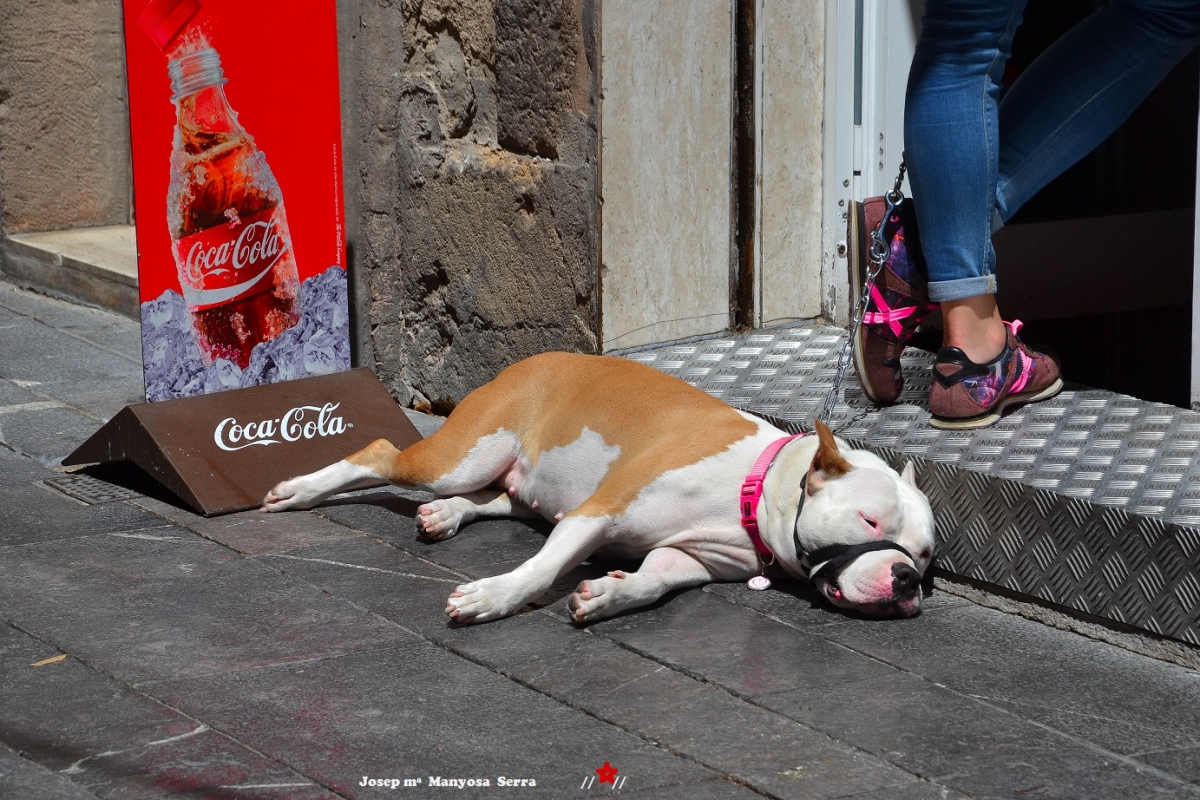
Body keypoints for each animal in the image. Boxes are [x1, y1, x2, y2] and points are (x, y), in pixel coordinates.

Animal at [262, 352, 936, 623]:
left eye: (926, 558)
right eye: (870, 523)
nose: (905, 579)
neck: (755, 483)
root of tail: (529, 359)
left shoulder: (689, 557)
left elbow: (655, 580)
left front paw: (609, 594)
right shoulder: (600, 510)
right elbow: (541, 567)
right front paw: (493, 598)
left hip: (522, 478)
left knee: (501, 499)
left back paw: (446, 515)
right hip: (464, 454)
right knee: (380, 454)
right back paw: (300, 491)